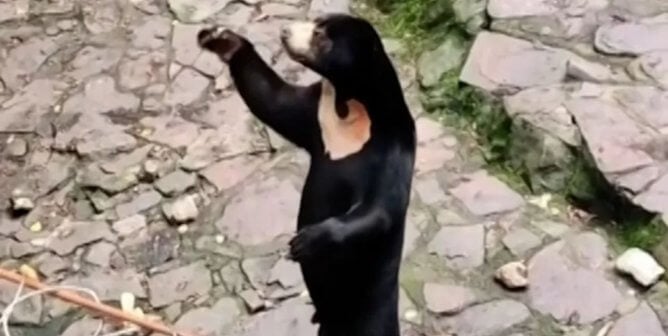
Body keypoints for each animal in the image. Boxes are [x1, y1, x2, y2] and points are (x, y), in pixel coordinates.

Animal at [198, 13, 414, 336]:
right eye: (317, 21)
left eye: (320, 35)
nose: (285, 31)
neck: (347, 104)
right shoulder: (315, 113)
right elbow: (272, 100)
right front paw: (220, 38)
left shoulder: (394, 148)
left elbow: (380, 209)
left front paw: (306, 242)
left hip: (370, 309)